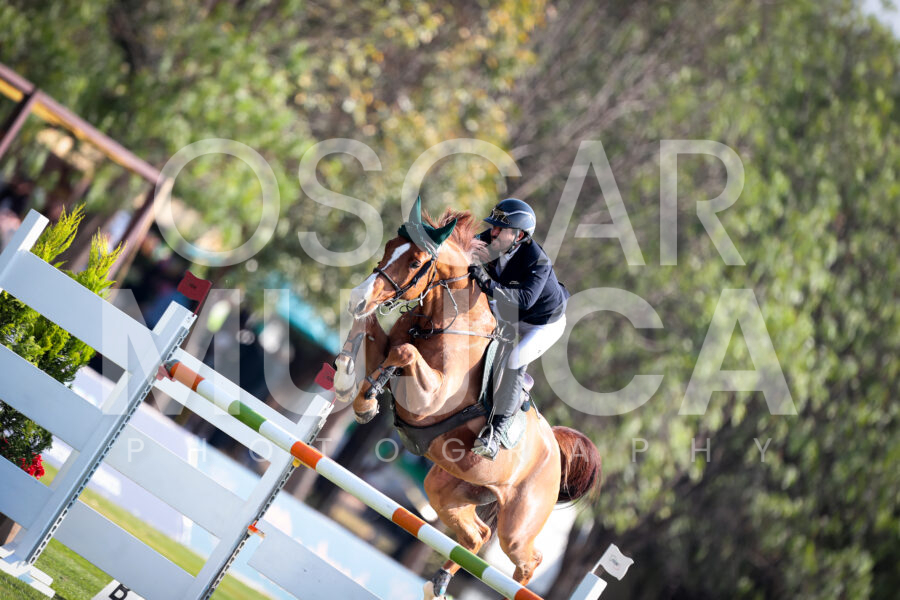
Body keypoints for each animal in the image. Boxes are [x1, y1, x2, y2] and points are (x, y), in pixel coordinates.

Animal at [332, 200, 601, 598]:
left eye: (414, 262)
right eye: (388, 247)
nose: (356, 299)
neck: (440, 323)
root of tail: (555, 449)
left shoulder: (432, 399)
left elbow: (404, 353)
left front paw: (369, 397)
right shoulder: (386, 342)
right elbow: (370, 333)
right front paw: (346, 377)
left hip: (518, 527)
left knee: (527, 560)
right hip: (448, 489)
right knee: (477, 536)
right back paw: (439, 583)